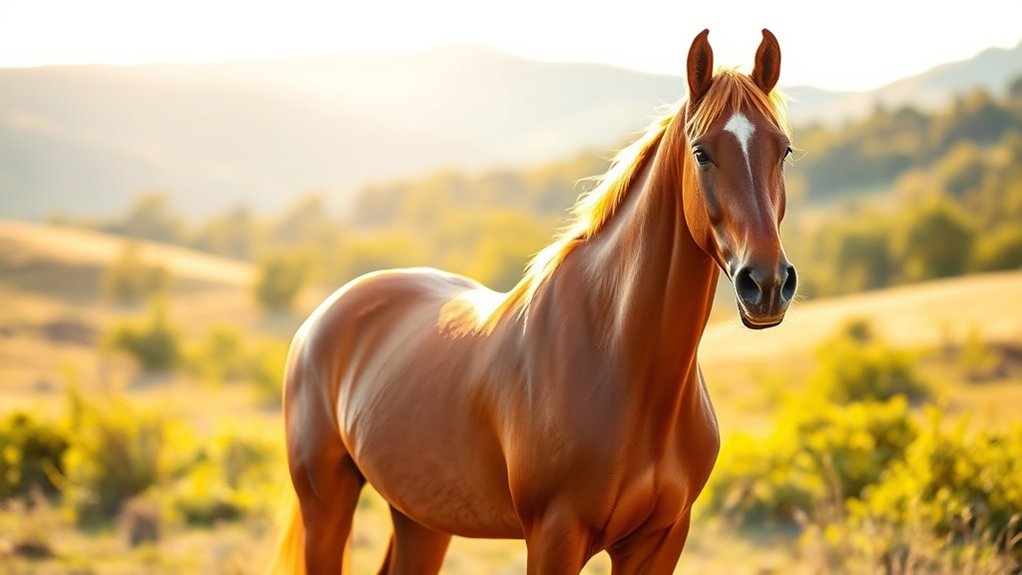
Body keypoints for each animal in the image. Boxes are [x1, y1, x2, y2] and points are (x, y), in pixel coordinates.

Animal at [274, 28, 797, 574]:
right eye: (701, 153)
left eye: (783, 150)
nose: (766, 284)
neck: (621, 360)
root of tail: (321, 319)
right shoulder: (555, 535)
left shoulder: (661, 541)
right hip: (326, 506)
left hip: (421, 517)